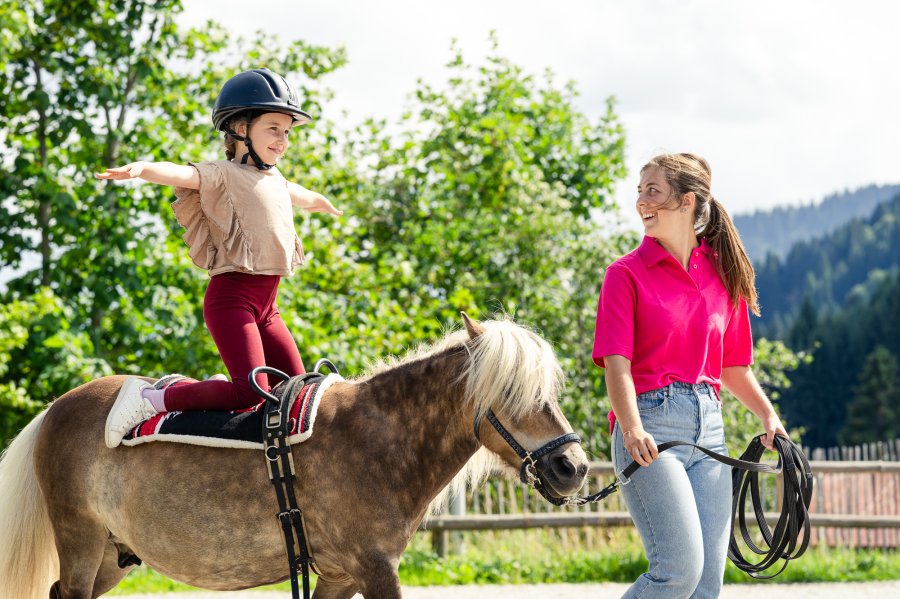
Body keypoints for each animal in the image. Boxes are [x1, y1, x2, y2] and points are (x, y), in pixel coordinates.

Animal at [0, 314, 589, 599]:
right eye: (511, 390)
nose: (573, 467)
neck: (379, 438)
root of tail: (57, 408)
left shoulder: (340, 576)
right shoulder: (376, 570)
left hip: (111, 555)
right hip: (79, 542)